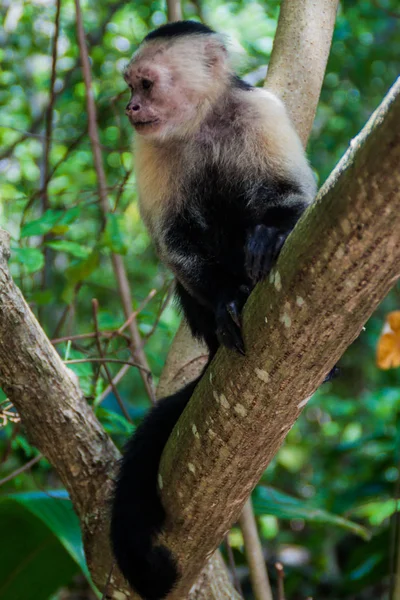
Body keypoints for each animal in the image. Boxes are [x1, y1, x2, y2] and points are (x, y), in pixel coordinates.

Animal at [111, 19, 318, 600]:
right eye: (130, 85)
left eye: (146, 84)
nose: (130, 108)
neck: (199, 123)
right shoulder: (148, 147)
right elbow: (176, 243)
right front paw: (228, 298)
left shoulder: (260, 111)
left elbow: (293, 197)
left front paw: (272, 234)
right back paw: (227, 311)